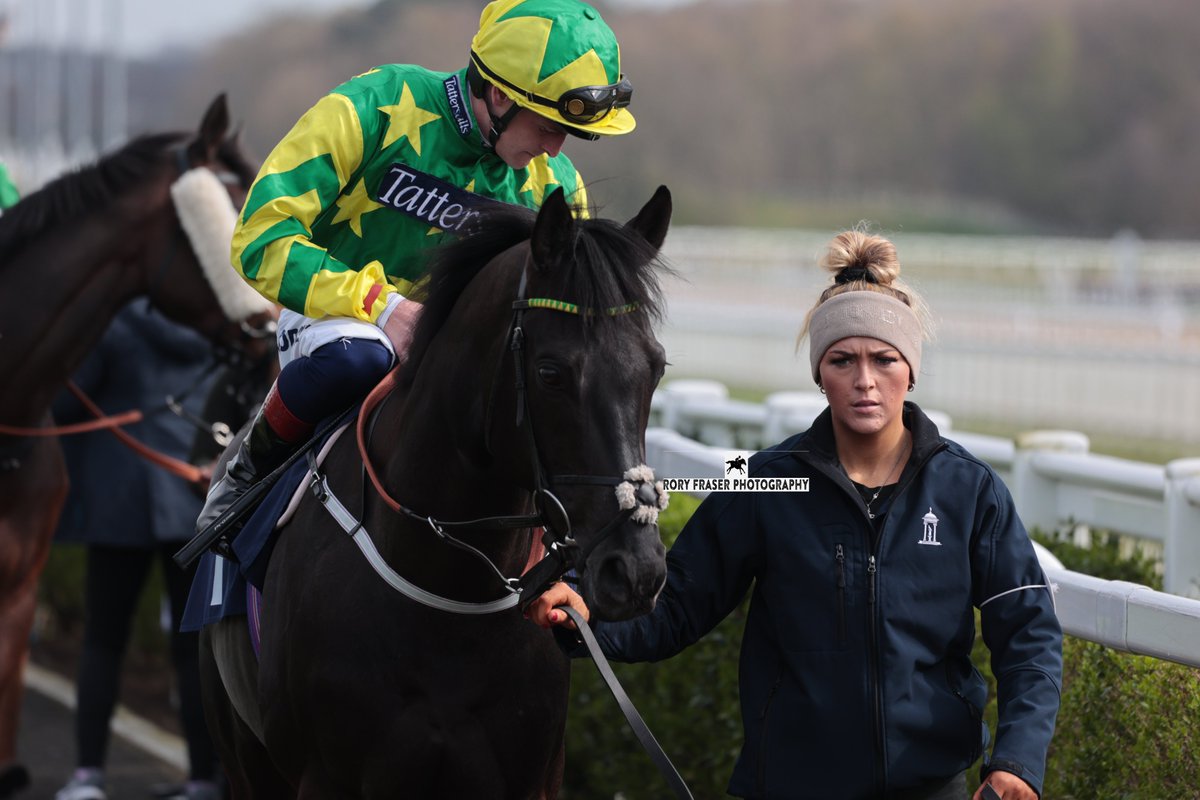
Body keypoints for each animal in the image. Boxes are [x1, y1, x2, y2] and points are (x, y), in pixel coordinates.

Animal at [201, 185, 681, 796]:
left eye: (656, 368)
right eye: (550, 373)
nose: (636, 569)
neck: (448, 592)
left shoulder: (531, 778)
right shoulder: (326, 776)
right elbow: (270, 230)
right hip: (245, 756)